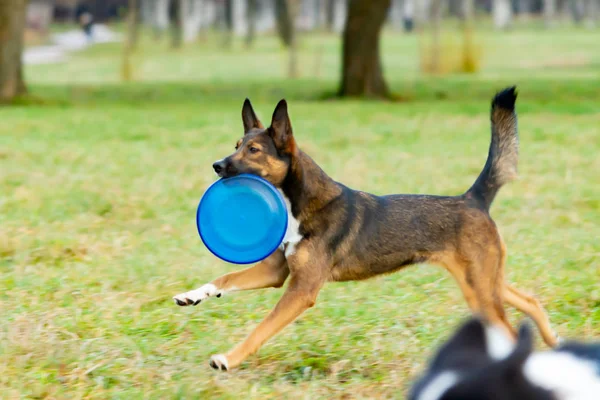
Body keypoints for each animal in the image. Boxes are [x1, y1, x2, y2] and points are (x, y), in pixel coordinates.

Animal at [171, 87, 556, 372]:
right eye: (235, 146)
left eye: (253, 150)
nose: (217, 165)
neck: (300, 203)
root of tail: (473, 199)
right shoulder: (277, 272)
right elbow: (225, 278)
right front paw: (193, 295)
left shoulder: (301, 290)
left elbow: (261, 328)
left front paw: (228, 358)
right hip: (484, 282)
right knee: (529, 301)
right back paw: (553, 343)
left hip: (479, 287)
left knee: (510, 329)